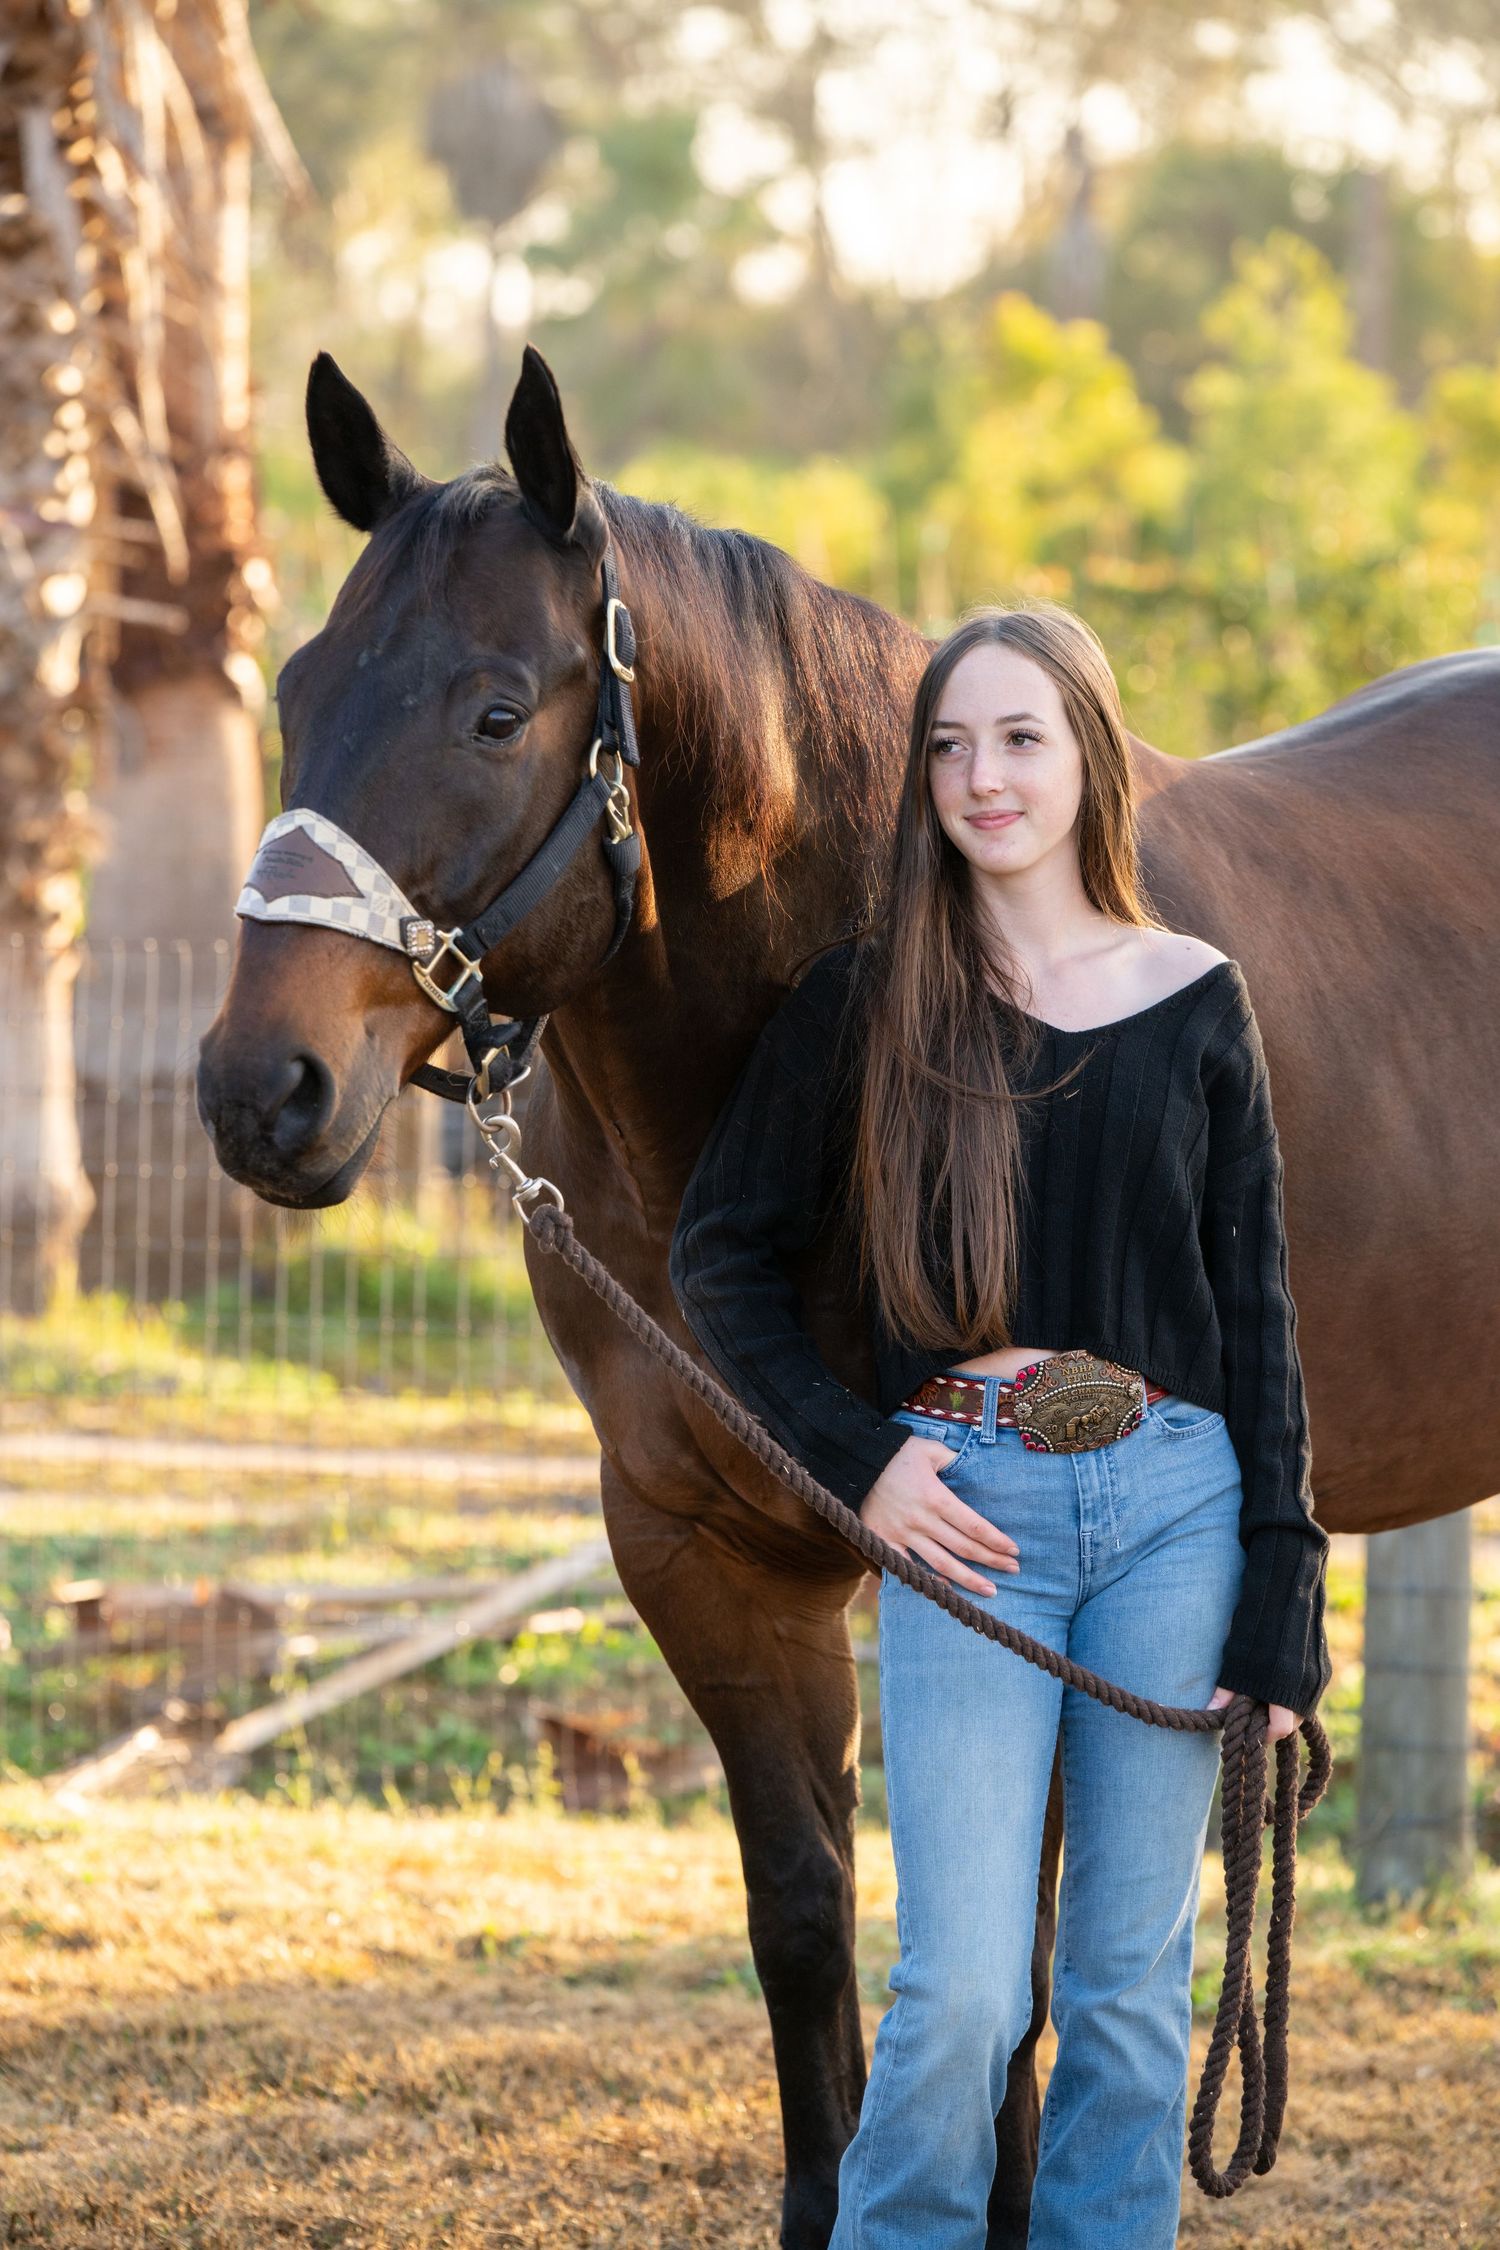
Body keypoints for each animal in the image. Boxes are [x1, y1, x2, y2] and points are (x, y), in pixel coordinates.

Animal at [196, 342, 1500, 2250]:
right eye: (293, 692)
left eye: (496, 712)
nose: (259, 1091)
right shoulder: (701, 1546)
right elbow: (805, 1913)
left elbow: (1016, 1957)